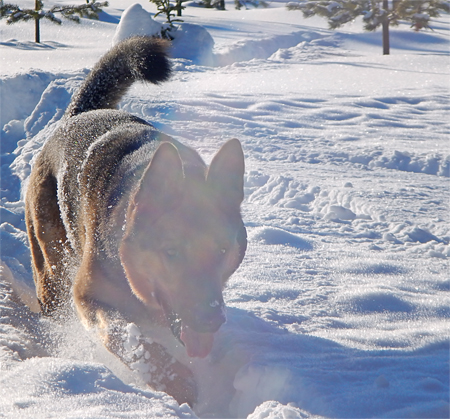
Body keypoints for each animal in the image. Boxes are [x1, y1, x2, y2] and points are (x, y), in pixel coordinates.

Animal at [24, 37, 246, 406]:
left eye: (221, 251)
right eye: (171, 252)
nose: (211, 319)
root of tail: (77, 115)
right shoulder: (89, 296)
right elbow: (132, 341)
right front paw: (176, 381)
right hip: (53, 265)